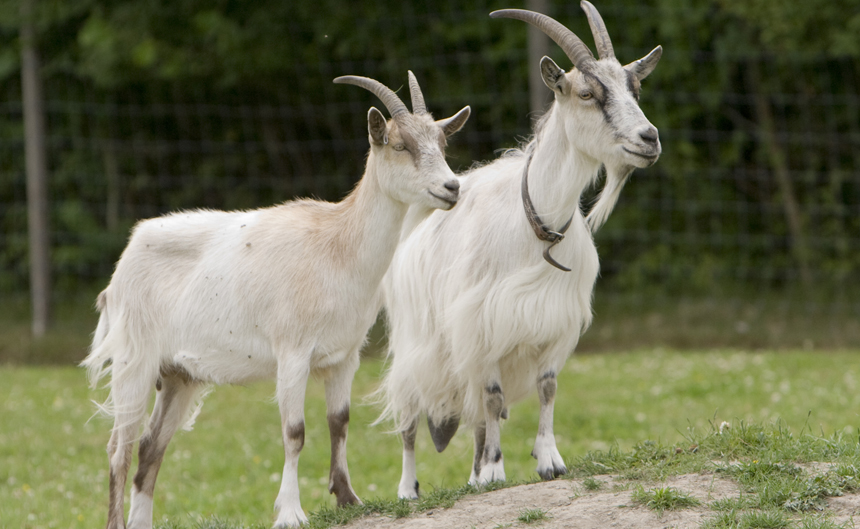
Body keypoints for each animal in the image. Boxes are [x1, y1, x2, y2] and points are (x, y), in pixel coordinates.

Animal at [81, 72, 470, 528]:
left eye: (441, 143)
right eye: (400, 145)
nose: (451, 187)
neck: (338, 246)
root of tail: (123, 263)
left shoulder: (345, 356)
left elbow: (339, 422)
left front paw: (348, 498)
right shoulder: (293, 352)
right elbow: (294, 431)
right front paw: (290, 512)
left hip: (179, 376)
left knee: (150, 446)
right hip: (134, 362)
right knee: (119, 449)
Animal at [378, 2, 662, 499]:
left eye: (636, 87)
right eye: (586, 93)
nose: (649, 139)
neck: (536, 225)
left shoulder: (553, 319)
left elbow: (546, 388)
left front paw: (548, 460)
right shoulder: (481, 323)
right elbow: (493, 398)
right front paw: (495, 470)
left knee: (473, 413)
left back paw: (473, 475)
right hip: (416, 342)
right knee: (411, 416)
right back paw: (410, 488)